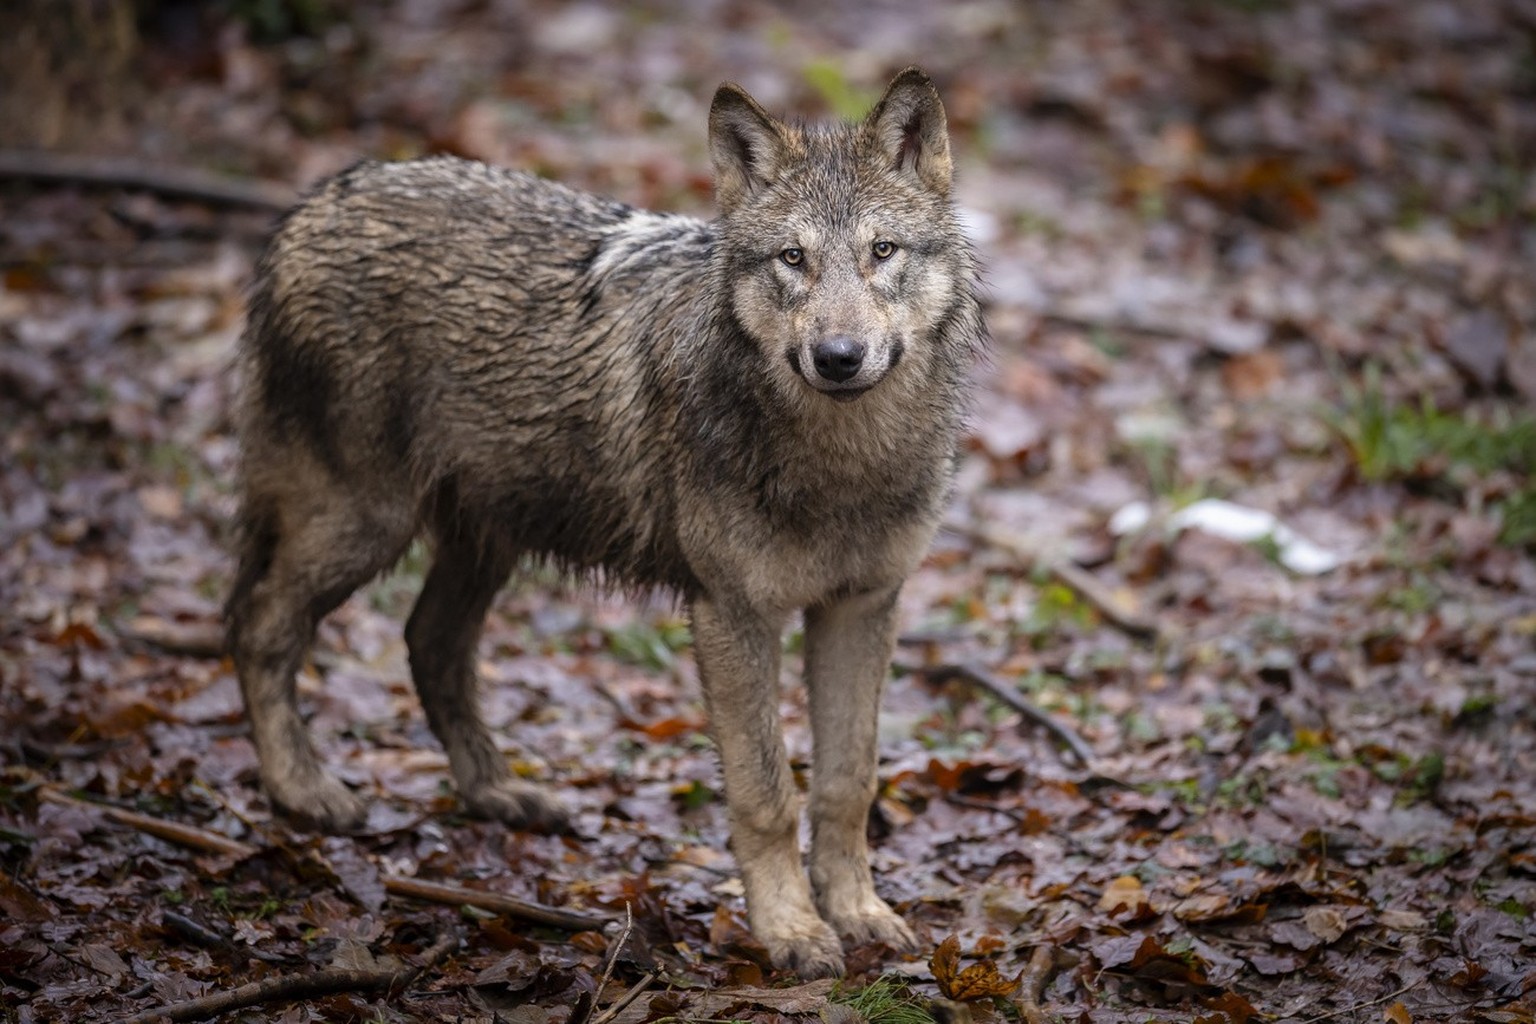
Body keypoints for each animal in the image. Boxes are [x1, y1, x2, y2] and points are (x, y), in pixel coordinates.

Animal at [227, 66, 983, 976]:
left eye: (882, 252)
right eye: (793, 259)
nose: (838, 358)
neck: (842, 465)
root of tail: (309, 206)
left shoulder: (862, 606)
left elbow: (847, 782)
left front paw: (860, 913)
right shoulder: (732, 614)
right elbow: (767, 793)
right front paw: (791, 931)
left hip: (486, 539)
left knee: (428, 643)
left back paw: (497, 793)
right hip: (363, 526)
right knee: (260, 627)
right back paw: (301, 791)